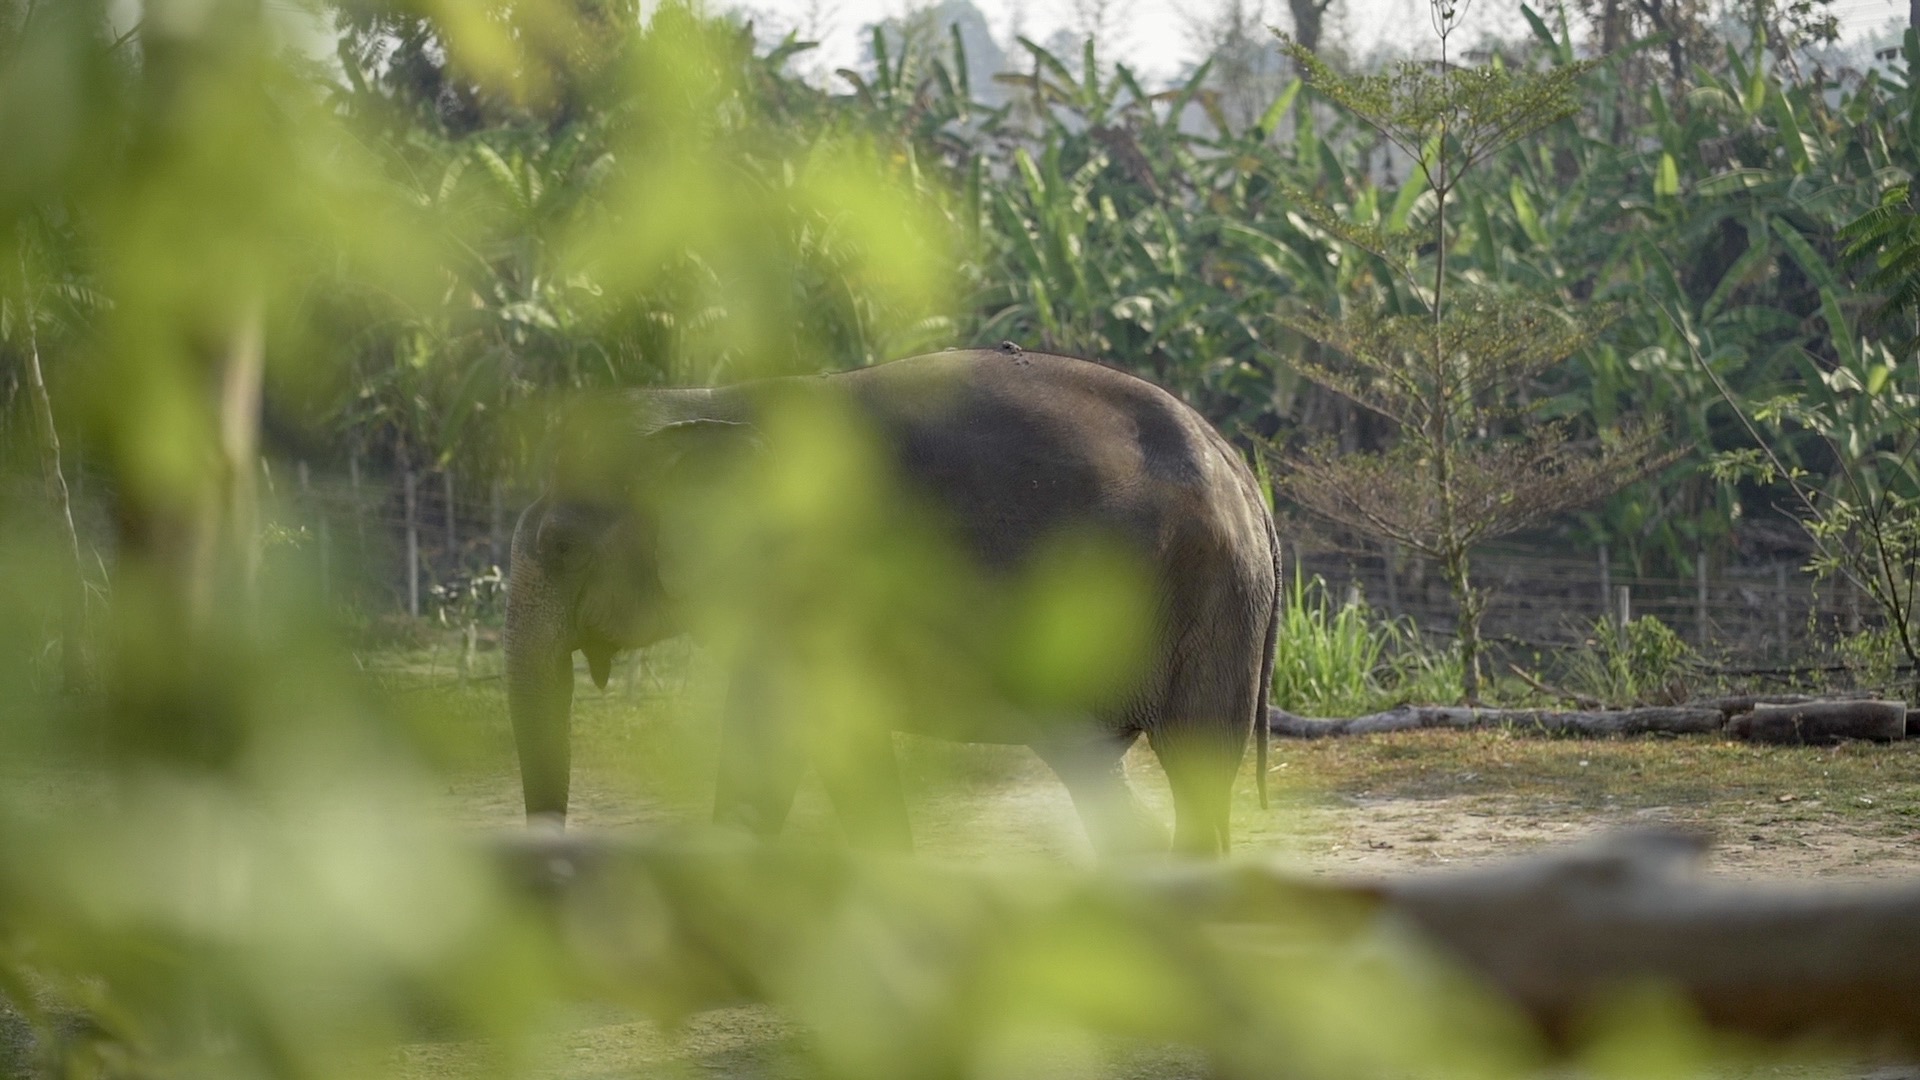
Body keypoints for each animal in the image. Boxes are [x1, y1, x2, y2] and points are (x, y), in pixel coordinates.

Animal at [503, 349, 1282, 853]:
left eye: (562, 547)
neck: (712, 404)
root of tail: (1244, 475)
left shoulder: (816, 585)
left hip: (1212, 601)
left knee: (1193, 764)